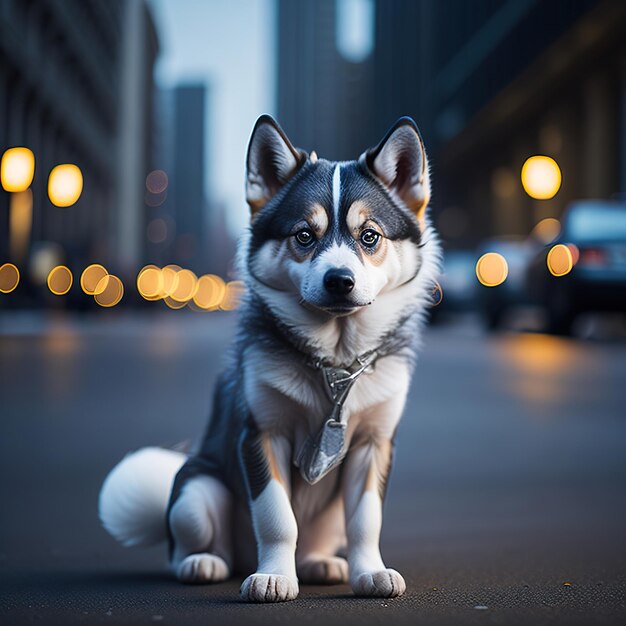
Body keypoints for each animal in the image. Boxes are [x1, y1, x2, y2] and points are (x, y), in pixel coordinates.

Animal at [98, 113, 438, 600]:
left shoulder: (374, 445)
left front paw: (370, 571)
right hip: (196, 493)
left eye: (369, 236)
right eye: (305, 236)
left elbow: (366, 520)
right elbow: (277, 516)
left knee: (321, 537)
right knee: (186, 543)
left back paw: (317, 563)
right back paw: (205, 562)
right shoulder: (260, 435)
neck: (333, 361)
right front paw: (275, 575)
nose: (340, 280)